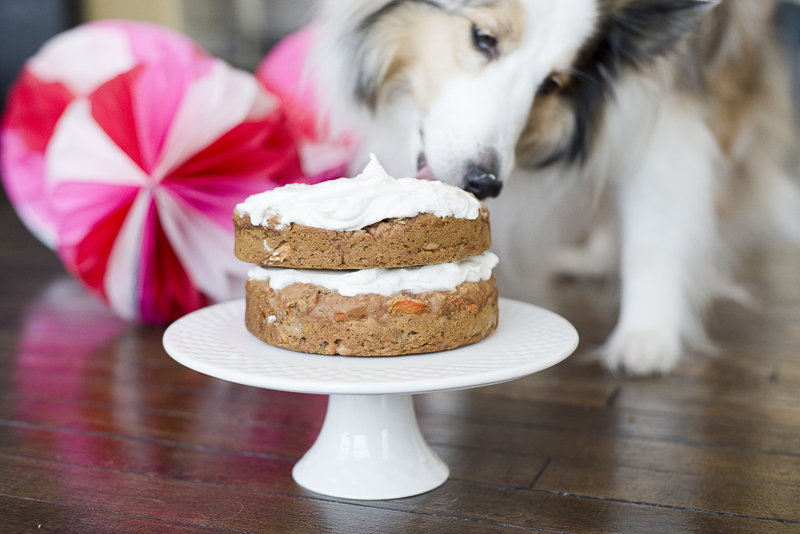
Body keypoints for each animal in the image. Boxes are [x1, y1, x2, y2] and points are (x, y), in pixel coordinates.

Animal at [308, 0, 800, 374]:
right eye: (483, 38)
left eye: (551, 84)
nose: (484, 183)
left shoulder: (668, 110)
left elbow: (654, 236)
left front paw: (647, 337)